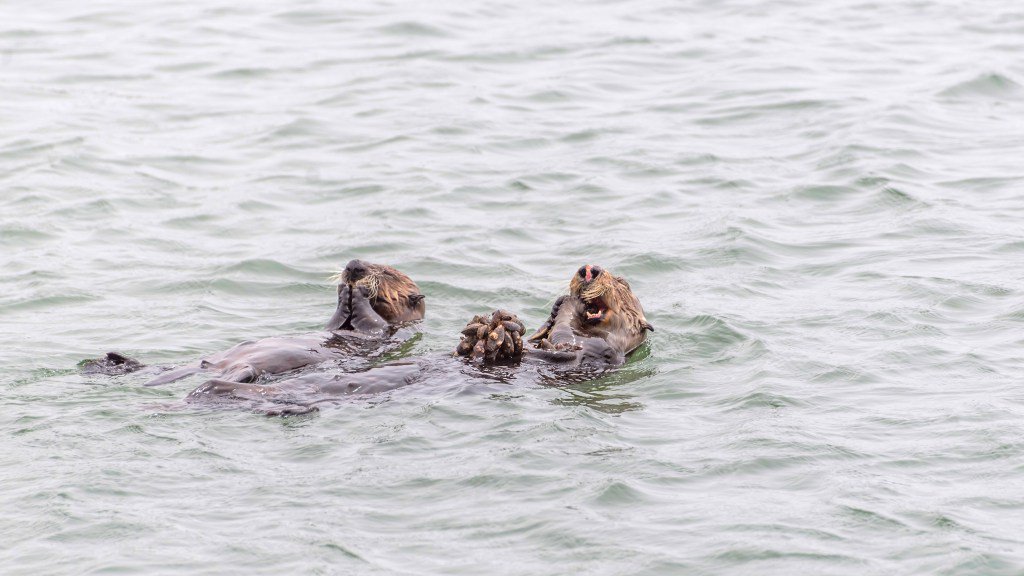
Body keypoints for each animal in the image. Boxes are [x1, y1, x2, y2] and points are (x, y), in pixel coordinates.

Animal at [80, 259, 425, 386]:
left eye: (386, 271)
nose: (353, 266)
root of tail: (214, 368)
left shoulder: (383, 334)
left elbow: (372, 321)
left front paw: (358, 292)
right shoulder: (337, 328)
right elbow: (333, 324)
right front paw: (343, 289)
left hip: (246, 369)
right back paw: (110, 363)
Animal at [186, 264, 652, 415]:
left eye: (623, 283)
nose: (590, 269)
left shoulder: (595, 356)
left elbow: (567, 346)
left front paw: (501, 335)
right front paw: (487, 329)